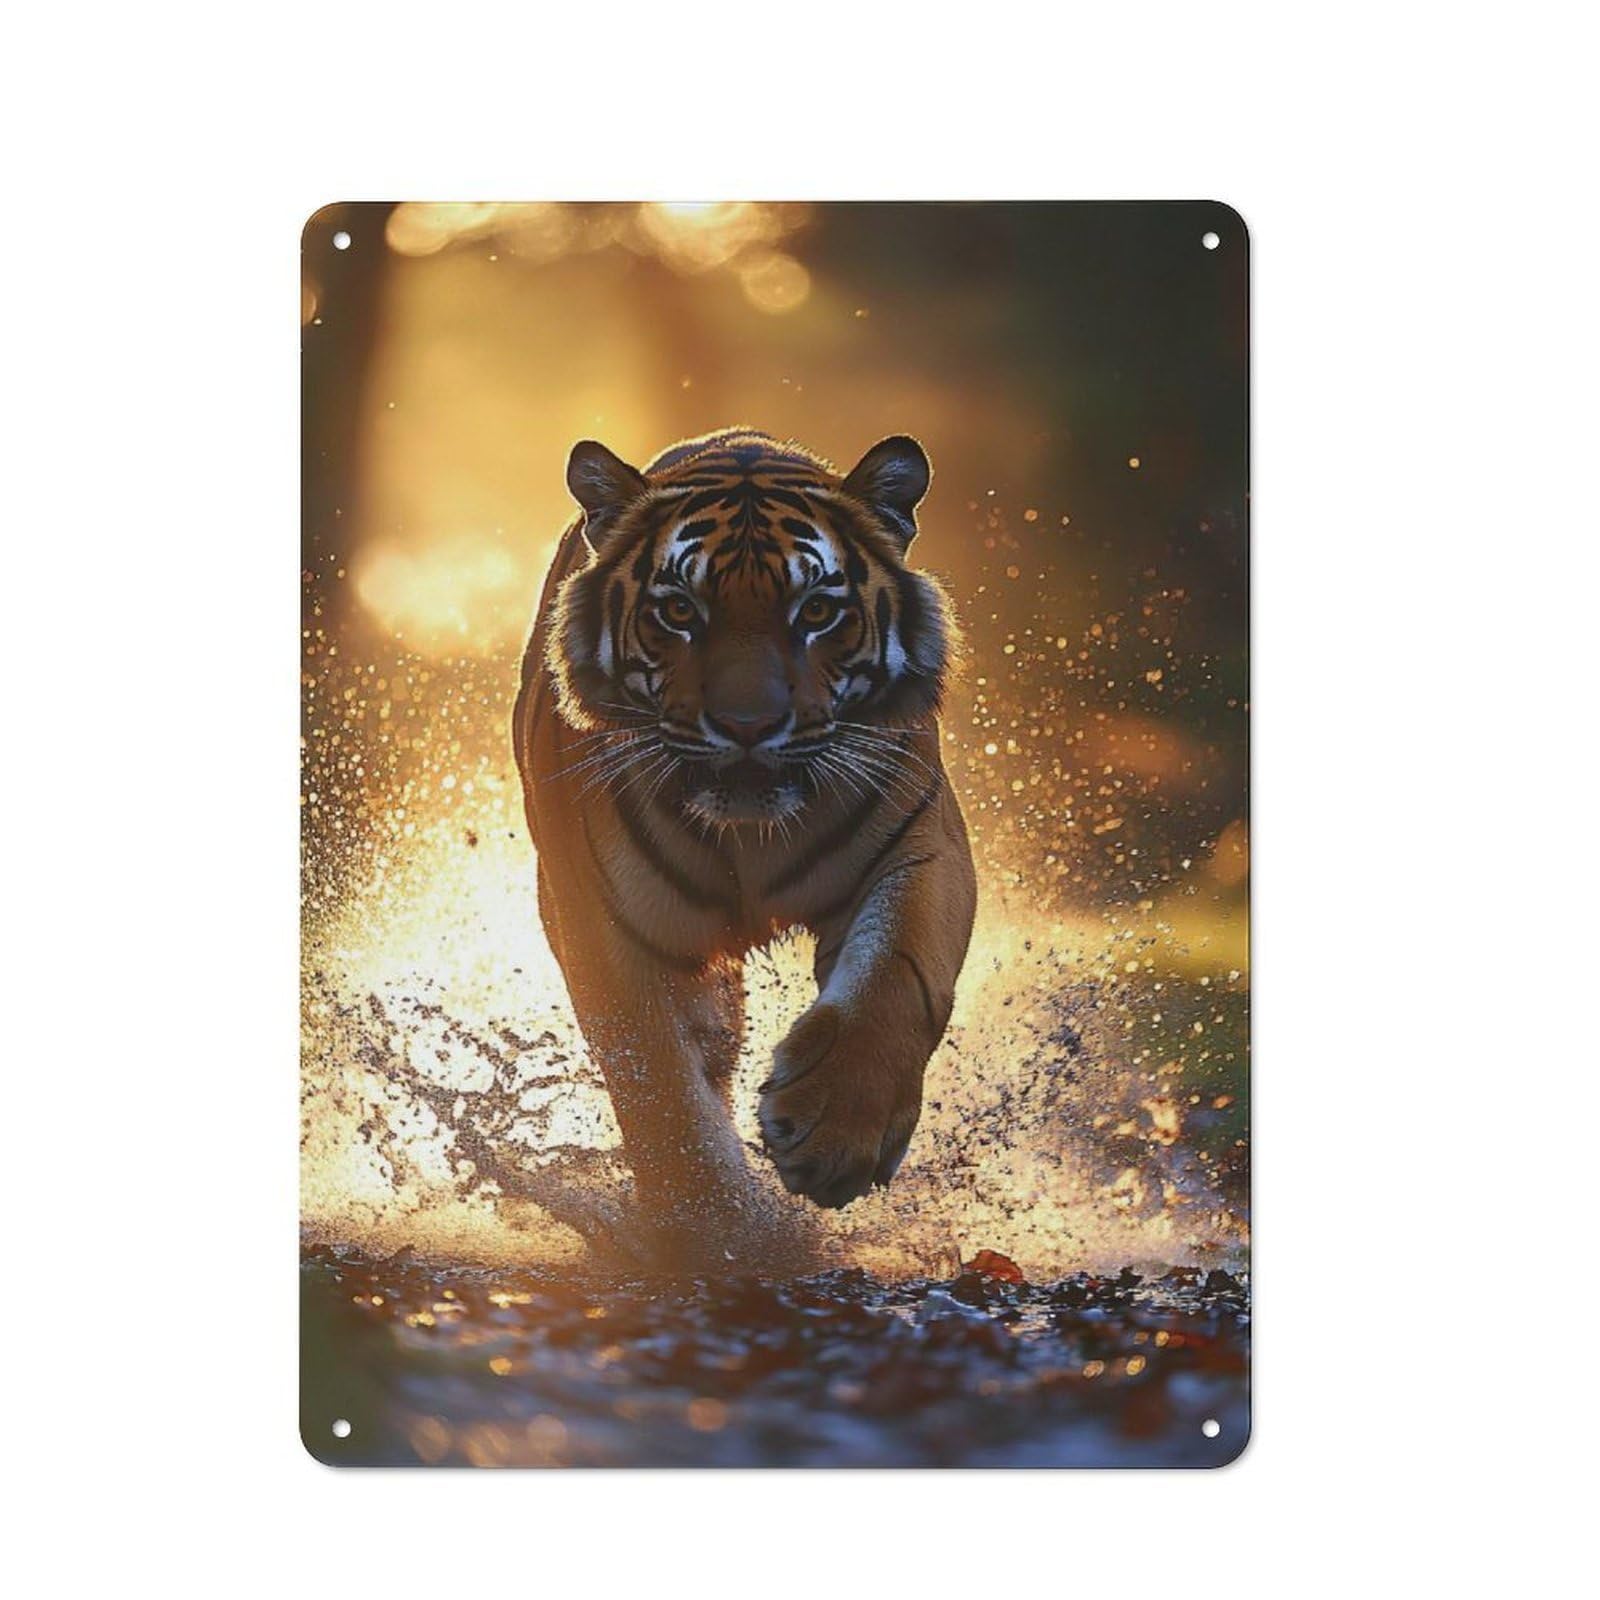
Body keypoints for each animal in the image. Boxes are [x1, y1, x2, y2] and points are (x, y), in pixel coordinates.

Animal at [513, 428, 976, 1263]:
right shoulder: (598, 917)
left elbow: (896, 979)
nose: (749, 724)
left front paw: (836, 1136)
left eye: (817, 610)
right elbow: (658, 1081)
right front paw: (720, 1229)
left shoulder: (920, 846)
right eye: (678, 610)